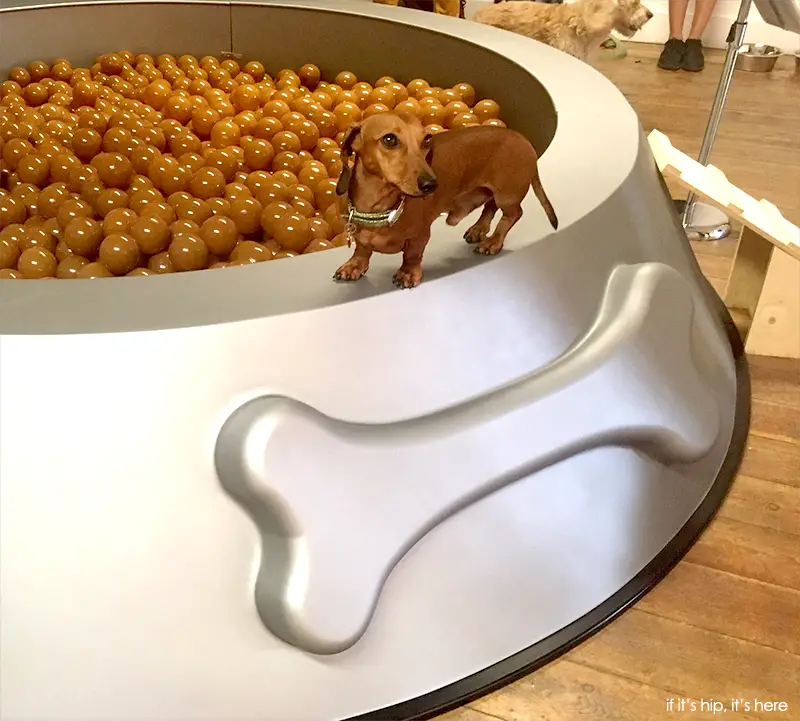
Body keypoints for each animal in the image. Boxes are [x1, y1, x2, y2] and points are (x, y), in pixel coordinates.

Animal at [332, 112, 556, 286]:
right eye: (389, 139)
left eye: (426, 140)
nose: (431, 185)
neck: (380, 208)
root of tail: (524, 140)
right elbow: (362, 249)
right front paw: (355, 265)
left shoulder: (421, 235)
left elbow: (412, 255)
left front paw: (408, 273)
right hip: (492, 192)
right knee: (490, 206)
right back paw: (479, 229)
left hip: (507, 195)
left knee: (514, 214)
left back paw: (494, 241)